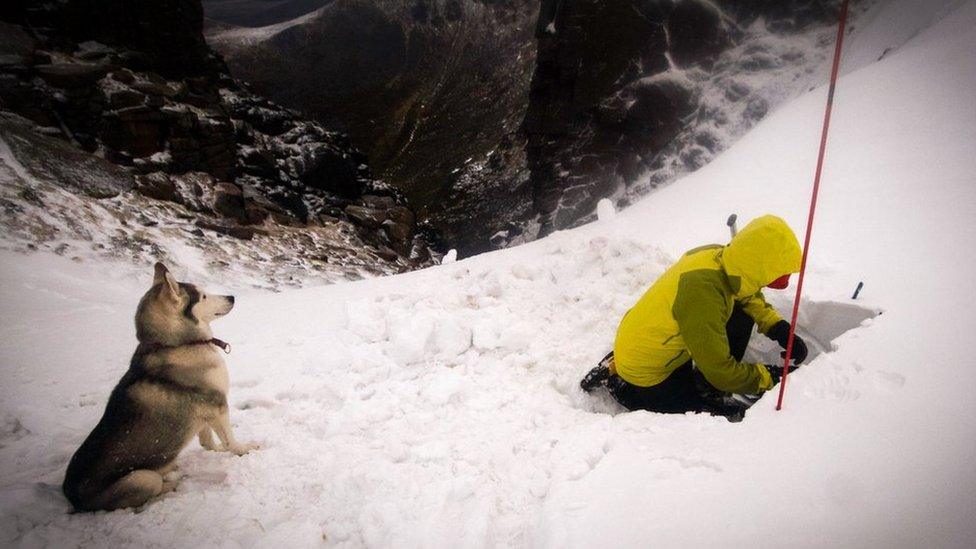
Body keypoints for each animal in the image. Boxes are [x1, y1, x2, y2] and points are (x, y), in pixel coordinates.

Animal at [62, 262, 255, 510]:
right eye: (203, 296)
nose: (232, 297)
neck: (175, 344)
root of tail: (71, 497)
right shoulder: (217, 403)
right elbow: (230, 440)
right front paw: (245, 449)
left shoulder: (204, 411)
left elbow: (207, 441)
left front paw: (216, 450)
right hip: (142, 478)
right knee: (152, 489)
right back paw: (174, 482)